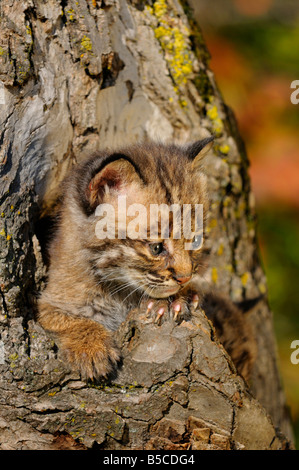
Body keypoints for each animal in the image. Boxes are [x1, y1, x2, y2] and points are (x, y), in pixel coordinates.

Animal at [37, 138, 256, 380]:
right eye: (157, 247)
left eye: (195, 240)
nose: (185, 278)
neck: (115, 290)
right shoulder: (48, 302)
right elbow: (62, 319)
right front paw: (91, 348)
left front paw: (178, 299)